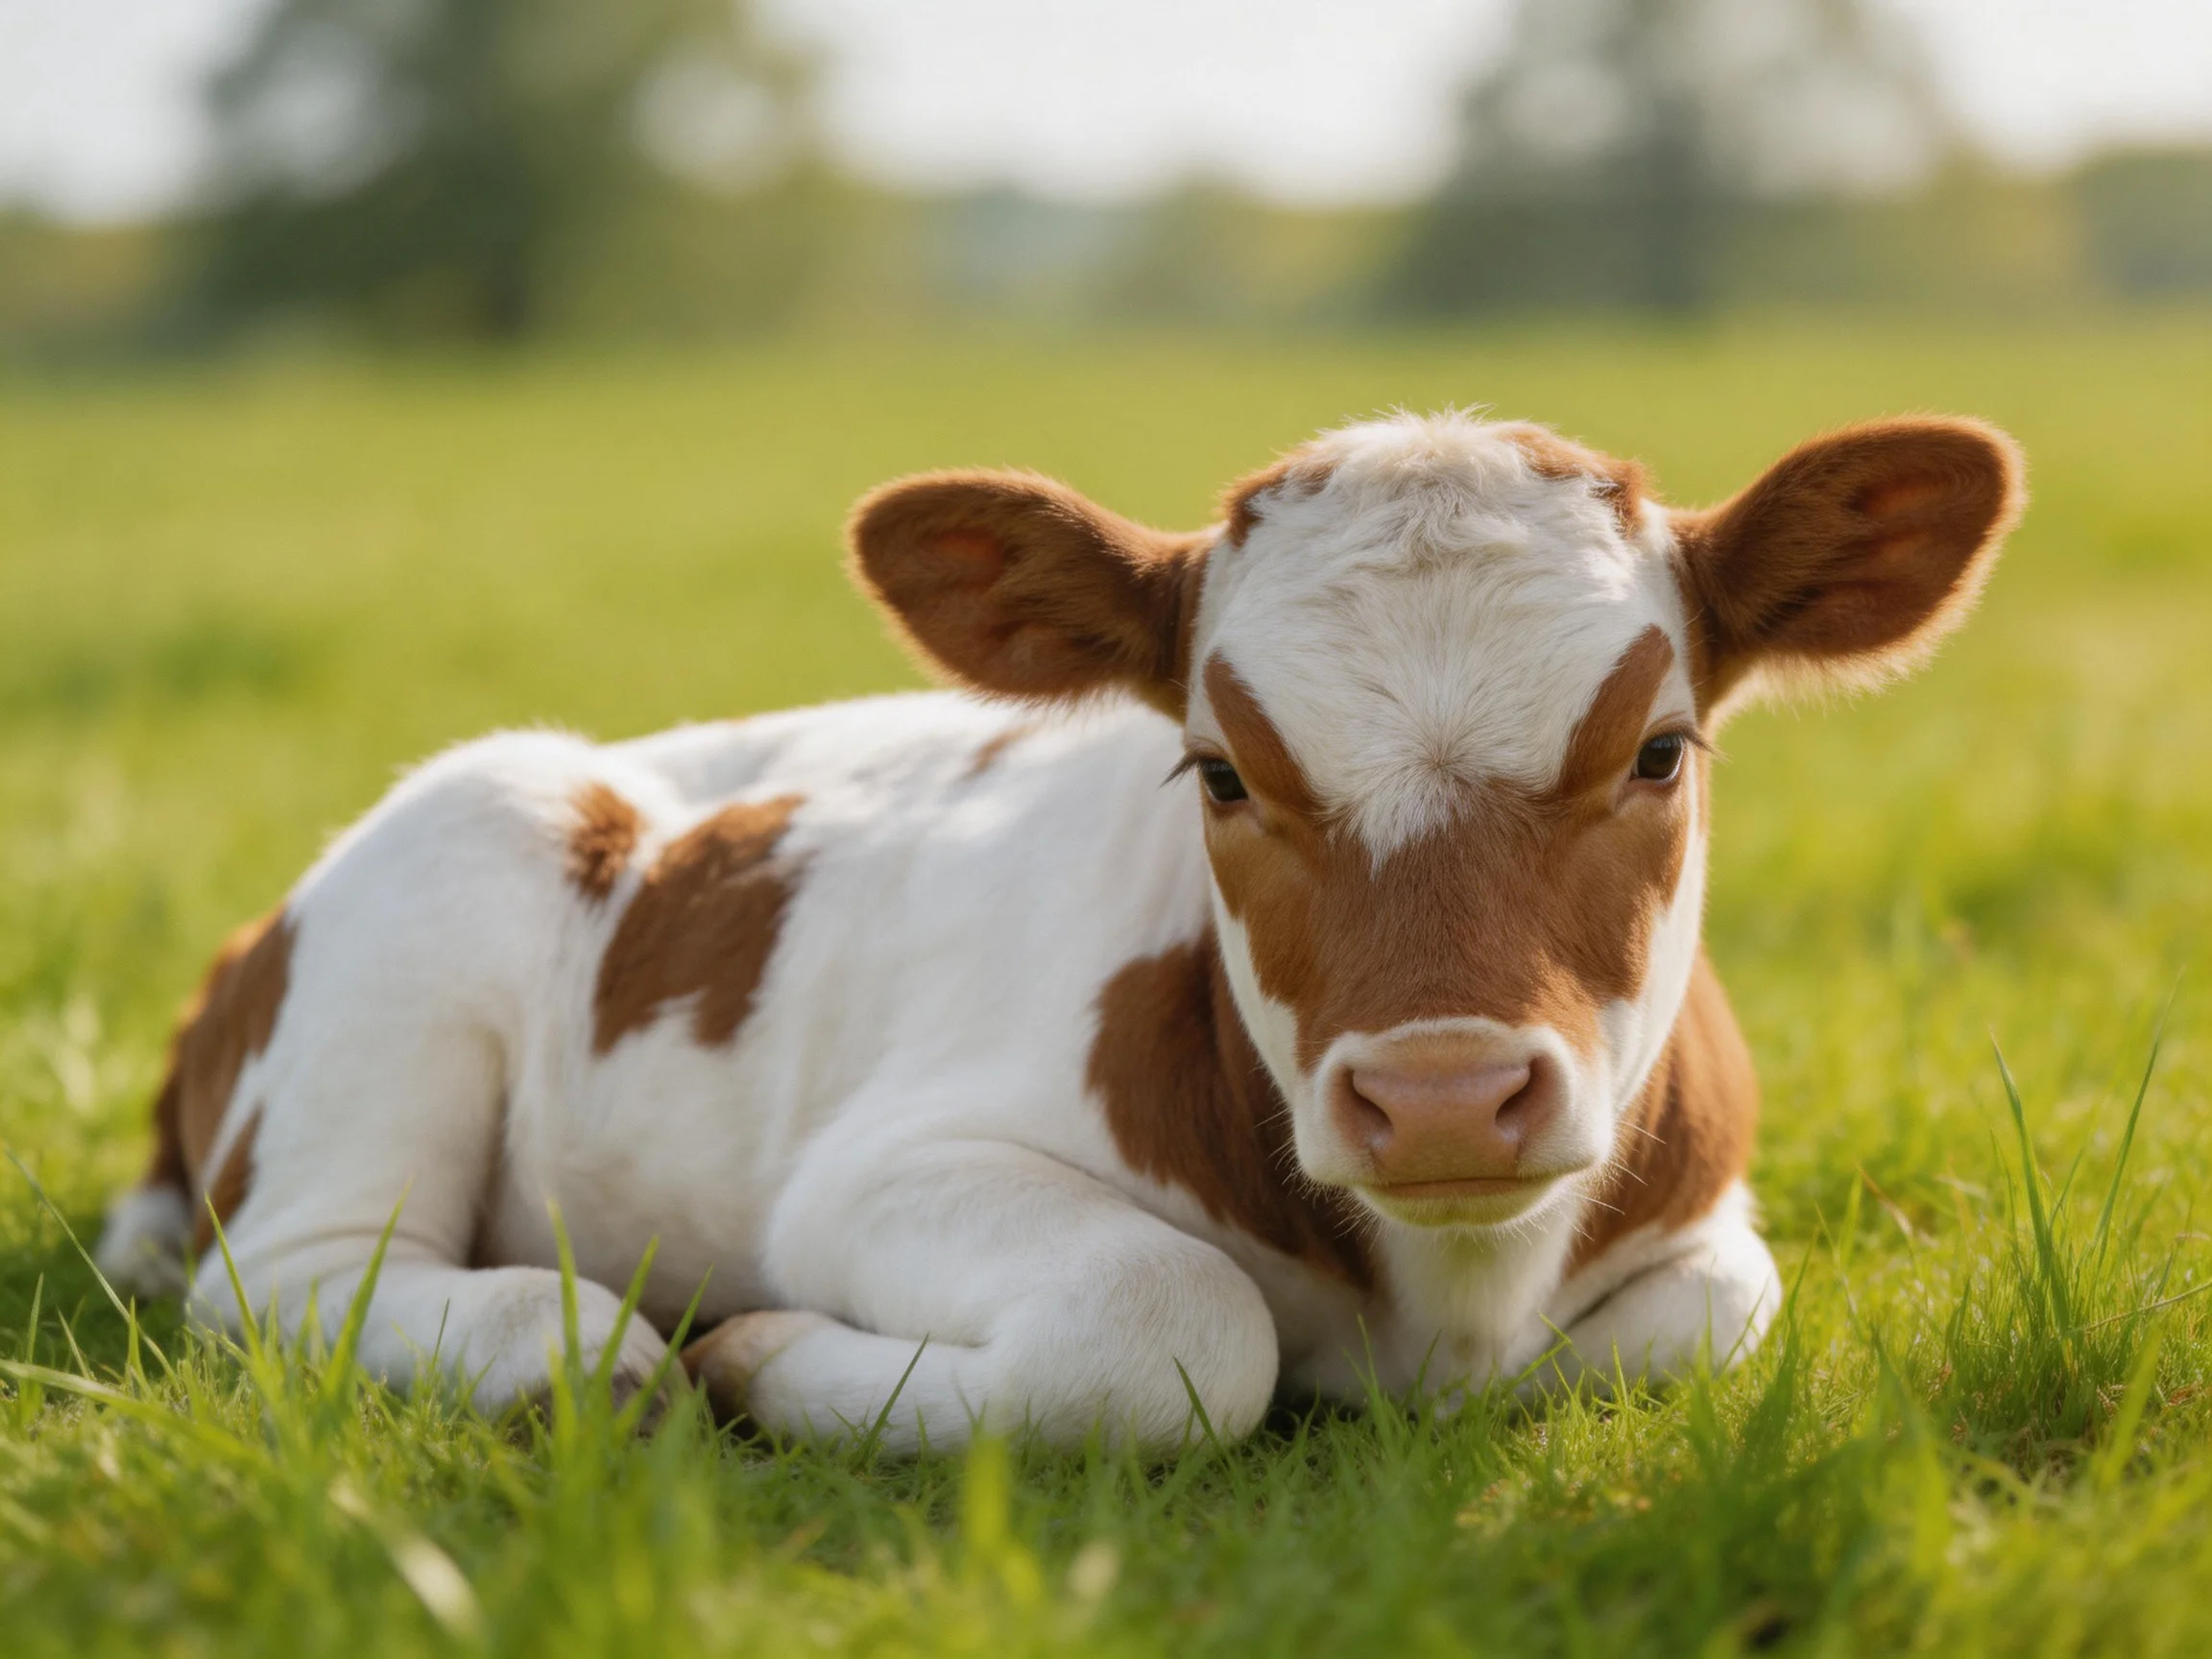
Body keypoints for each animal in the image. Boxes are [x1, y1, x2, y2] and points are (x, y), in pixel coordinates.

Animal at [94, 409, 2022, 1452]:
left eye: (1657, 749)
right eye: (1219, 770)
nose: (1444, 1095)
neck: (1449, 1305)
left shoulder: (1707, 1229)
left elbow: (1710, 1317)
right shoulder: (874, 1175)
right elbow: (1164, 1326)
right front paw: (763, 1354)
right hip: (434, 895)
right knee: (302, 1279)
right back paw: (581, 1341)